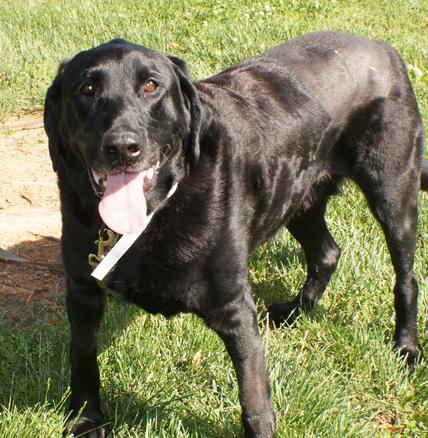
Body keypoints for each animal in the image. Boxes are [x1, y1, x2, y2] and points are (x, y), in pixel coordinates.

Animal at [45, 31, 426, 438]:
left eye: (151, 86)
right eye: (86, 89)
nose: (121, 146)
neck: (156, 209)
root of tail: (383, 47)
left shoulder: (235, 308)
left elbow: (254, 399)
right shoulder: (82, 291)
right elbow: (83, 358)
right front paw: (85, 421)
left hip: (392, 190)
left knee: (406, 276)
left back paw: (406, 348)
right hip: (296, 198)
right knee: (327, 252)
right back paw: (296, 311)